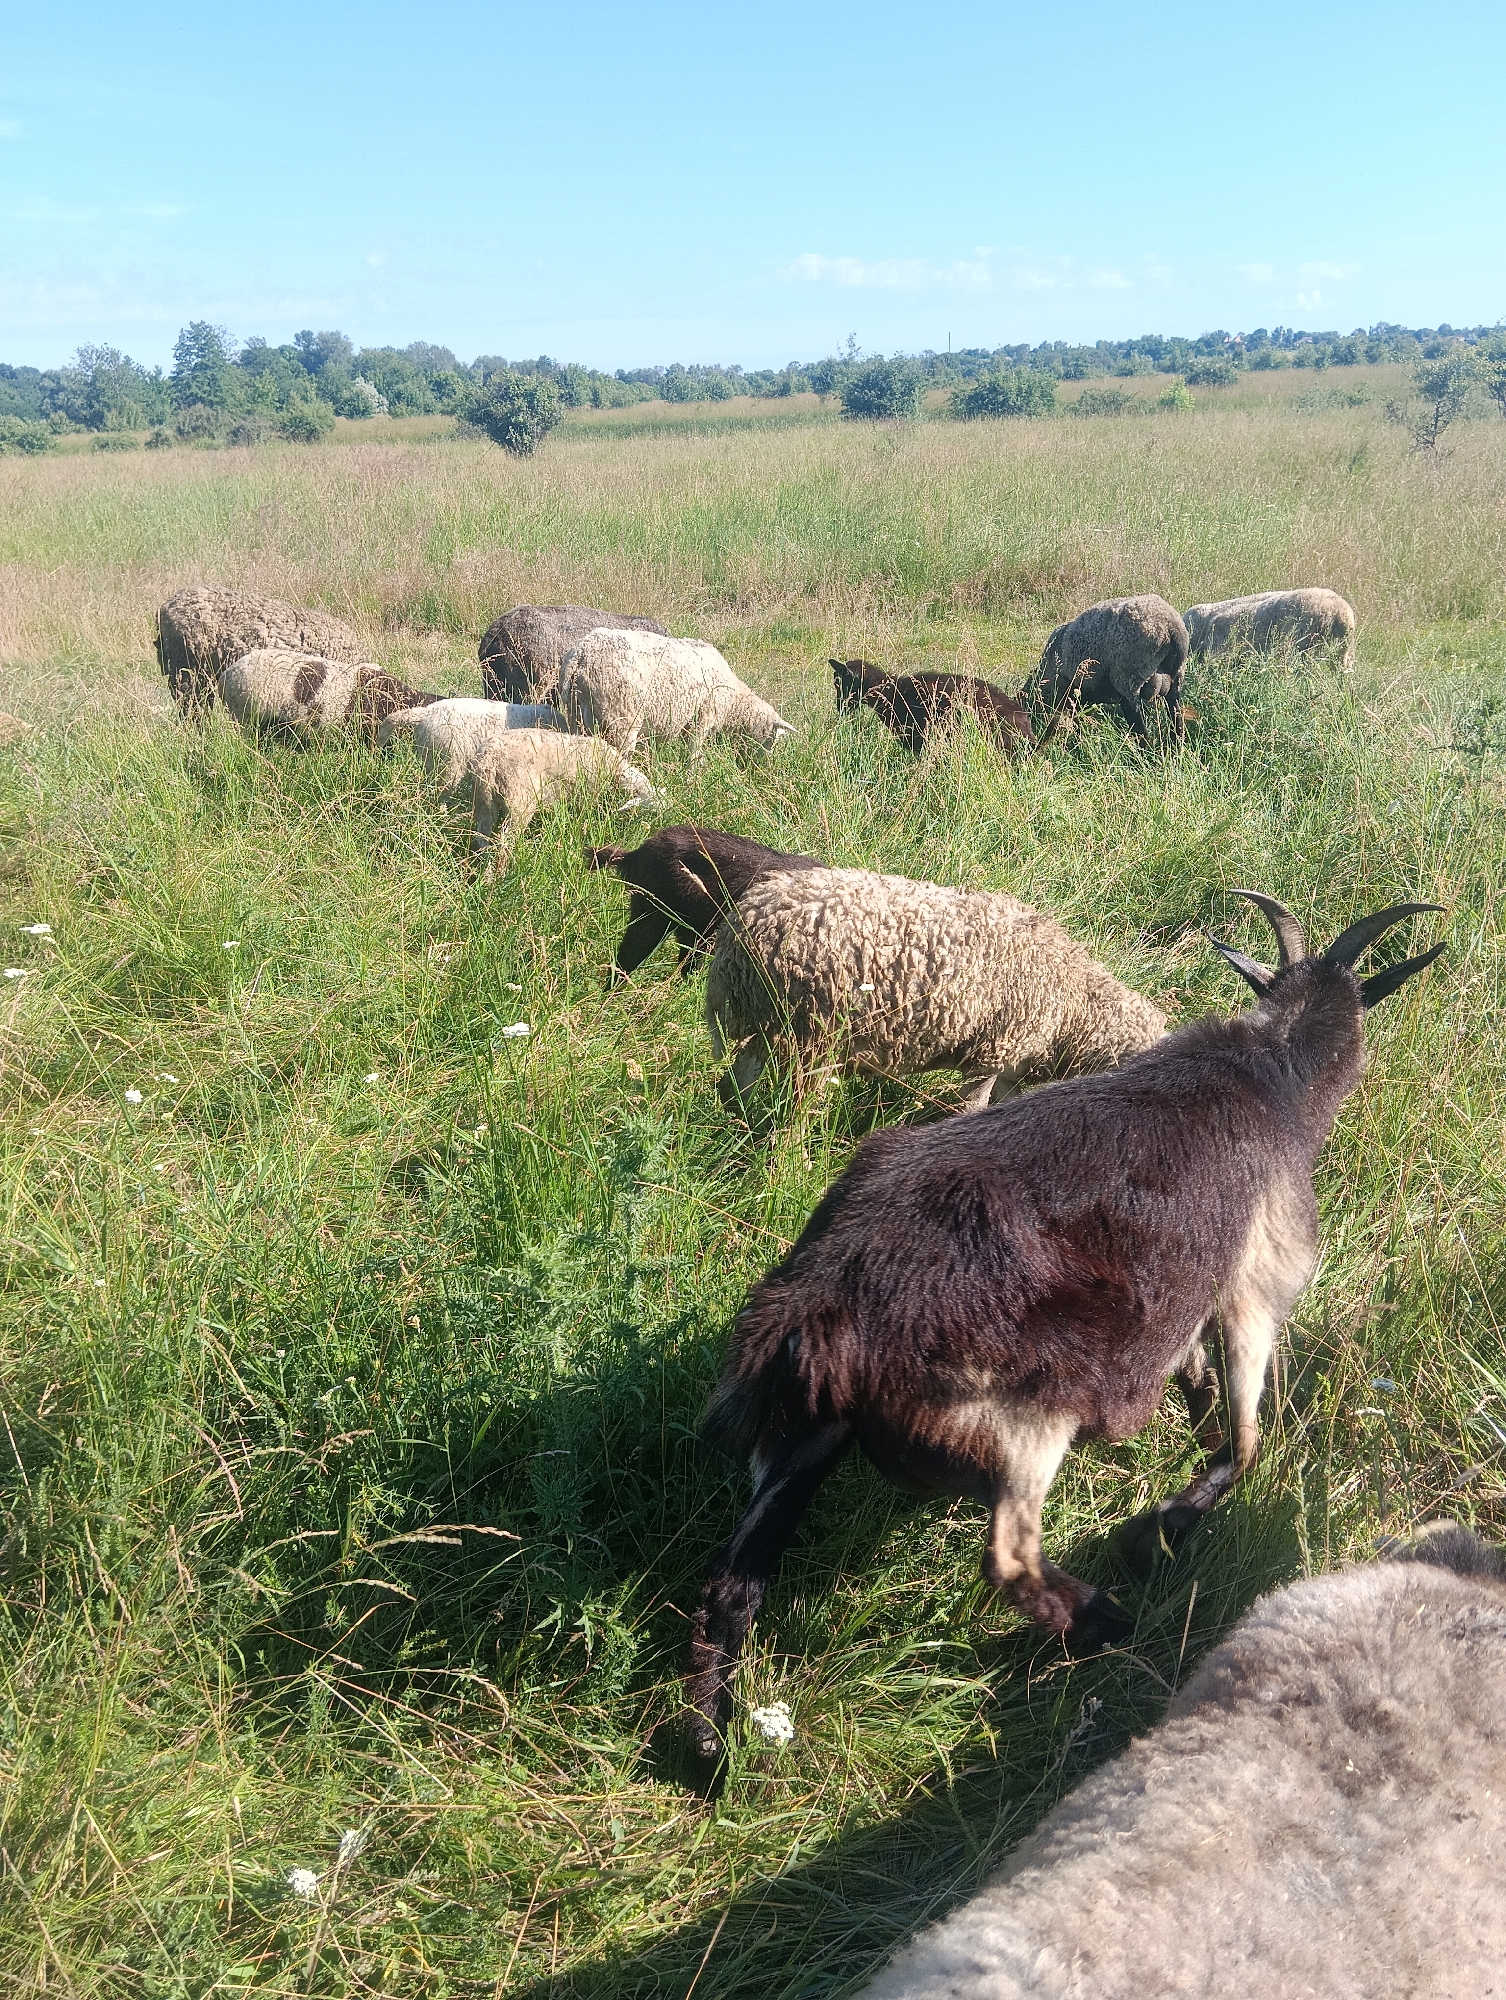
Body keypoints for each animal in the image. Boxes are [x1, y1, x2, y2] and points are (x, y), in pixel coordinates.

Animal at [382, 714, 657, 869]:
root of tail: (488, 760)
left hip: (484, 802)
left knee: (481, 837)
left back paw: (485, 871)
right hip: (519, 801)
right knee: (504, 842)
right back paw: (503, 871)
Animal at [559, 628, 794, 756]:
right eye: (772, 740)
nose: (762, 769)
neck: (734, 703)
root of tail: (580, 657)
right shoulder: (703, 718)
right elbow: (694, 752)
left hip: (577, 717)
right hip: (620, 717)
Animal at [705, 868, 1167, 1112]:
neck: (1073, 1004)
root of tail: (745, 925)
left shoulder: (1011, 1063)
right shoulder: (996, 1048)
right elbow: (972, 1105)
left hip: (760, 1022)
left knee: (736, 1083)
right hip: (813, 1034)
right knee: (795, 1109)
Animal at [1032, 595, 1188, 741]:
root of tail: (1171, 626)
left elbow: (1077, 721)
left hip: (1128, 679)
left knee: (1140, 729)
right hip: (1176, 677)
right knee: (1176, 717)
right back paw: (1176, 744)